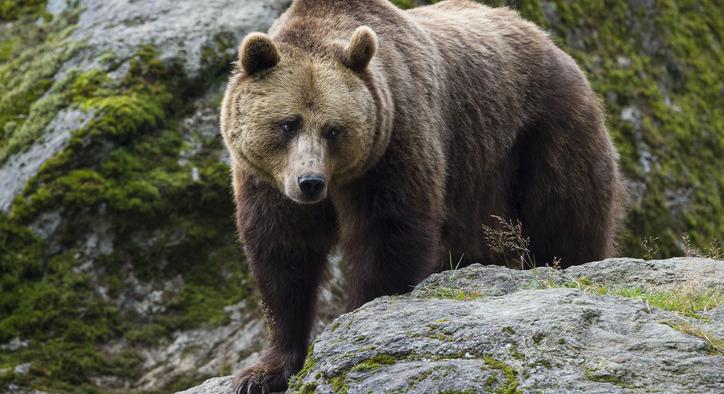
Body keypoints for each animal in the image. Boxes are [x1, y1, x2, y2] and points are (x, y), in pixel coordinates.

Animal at [219, 0, 624, 390]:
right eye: (288, 124)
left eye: (334, 129)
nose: (310, 182)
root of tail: (548, 39)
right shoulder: (268, 181)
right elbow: (283, 255)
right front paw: (262, 372)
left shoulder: (395, 139)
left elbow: (389, 233)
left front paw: (359, 317)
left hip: (540, 137)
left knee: (566, 219)